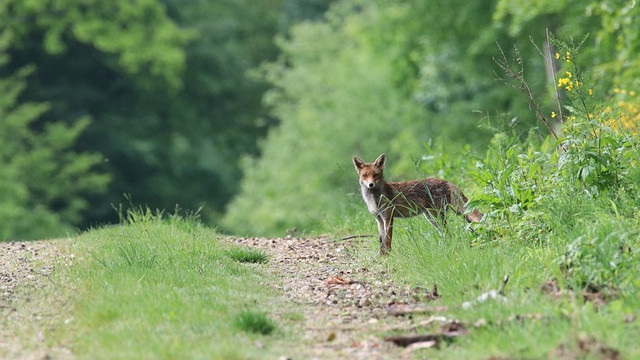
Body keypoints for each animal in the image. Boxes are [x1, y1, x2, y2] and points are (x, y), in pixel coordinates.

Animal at [352, 153, 482, 255]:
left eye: (375, 175)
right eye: (365, 175)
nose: (371, 184)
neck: (375, 200)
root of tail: (446, 181)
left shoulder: (388, 217)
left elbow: (388, 241)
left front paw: (389, 256)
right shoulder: (379, 219)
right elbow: (381, 241)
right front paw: (382, 256)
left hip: (437, 216)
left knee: (449, 233)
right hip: (431, 218)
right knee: (447, 234)